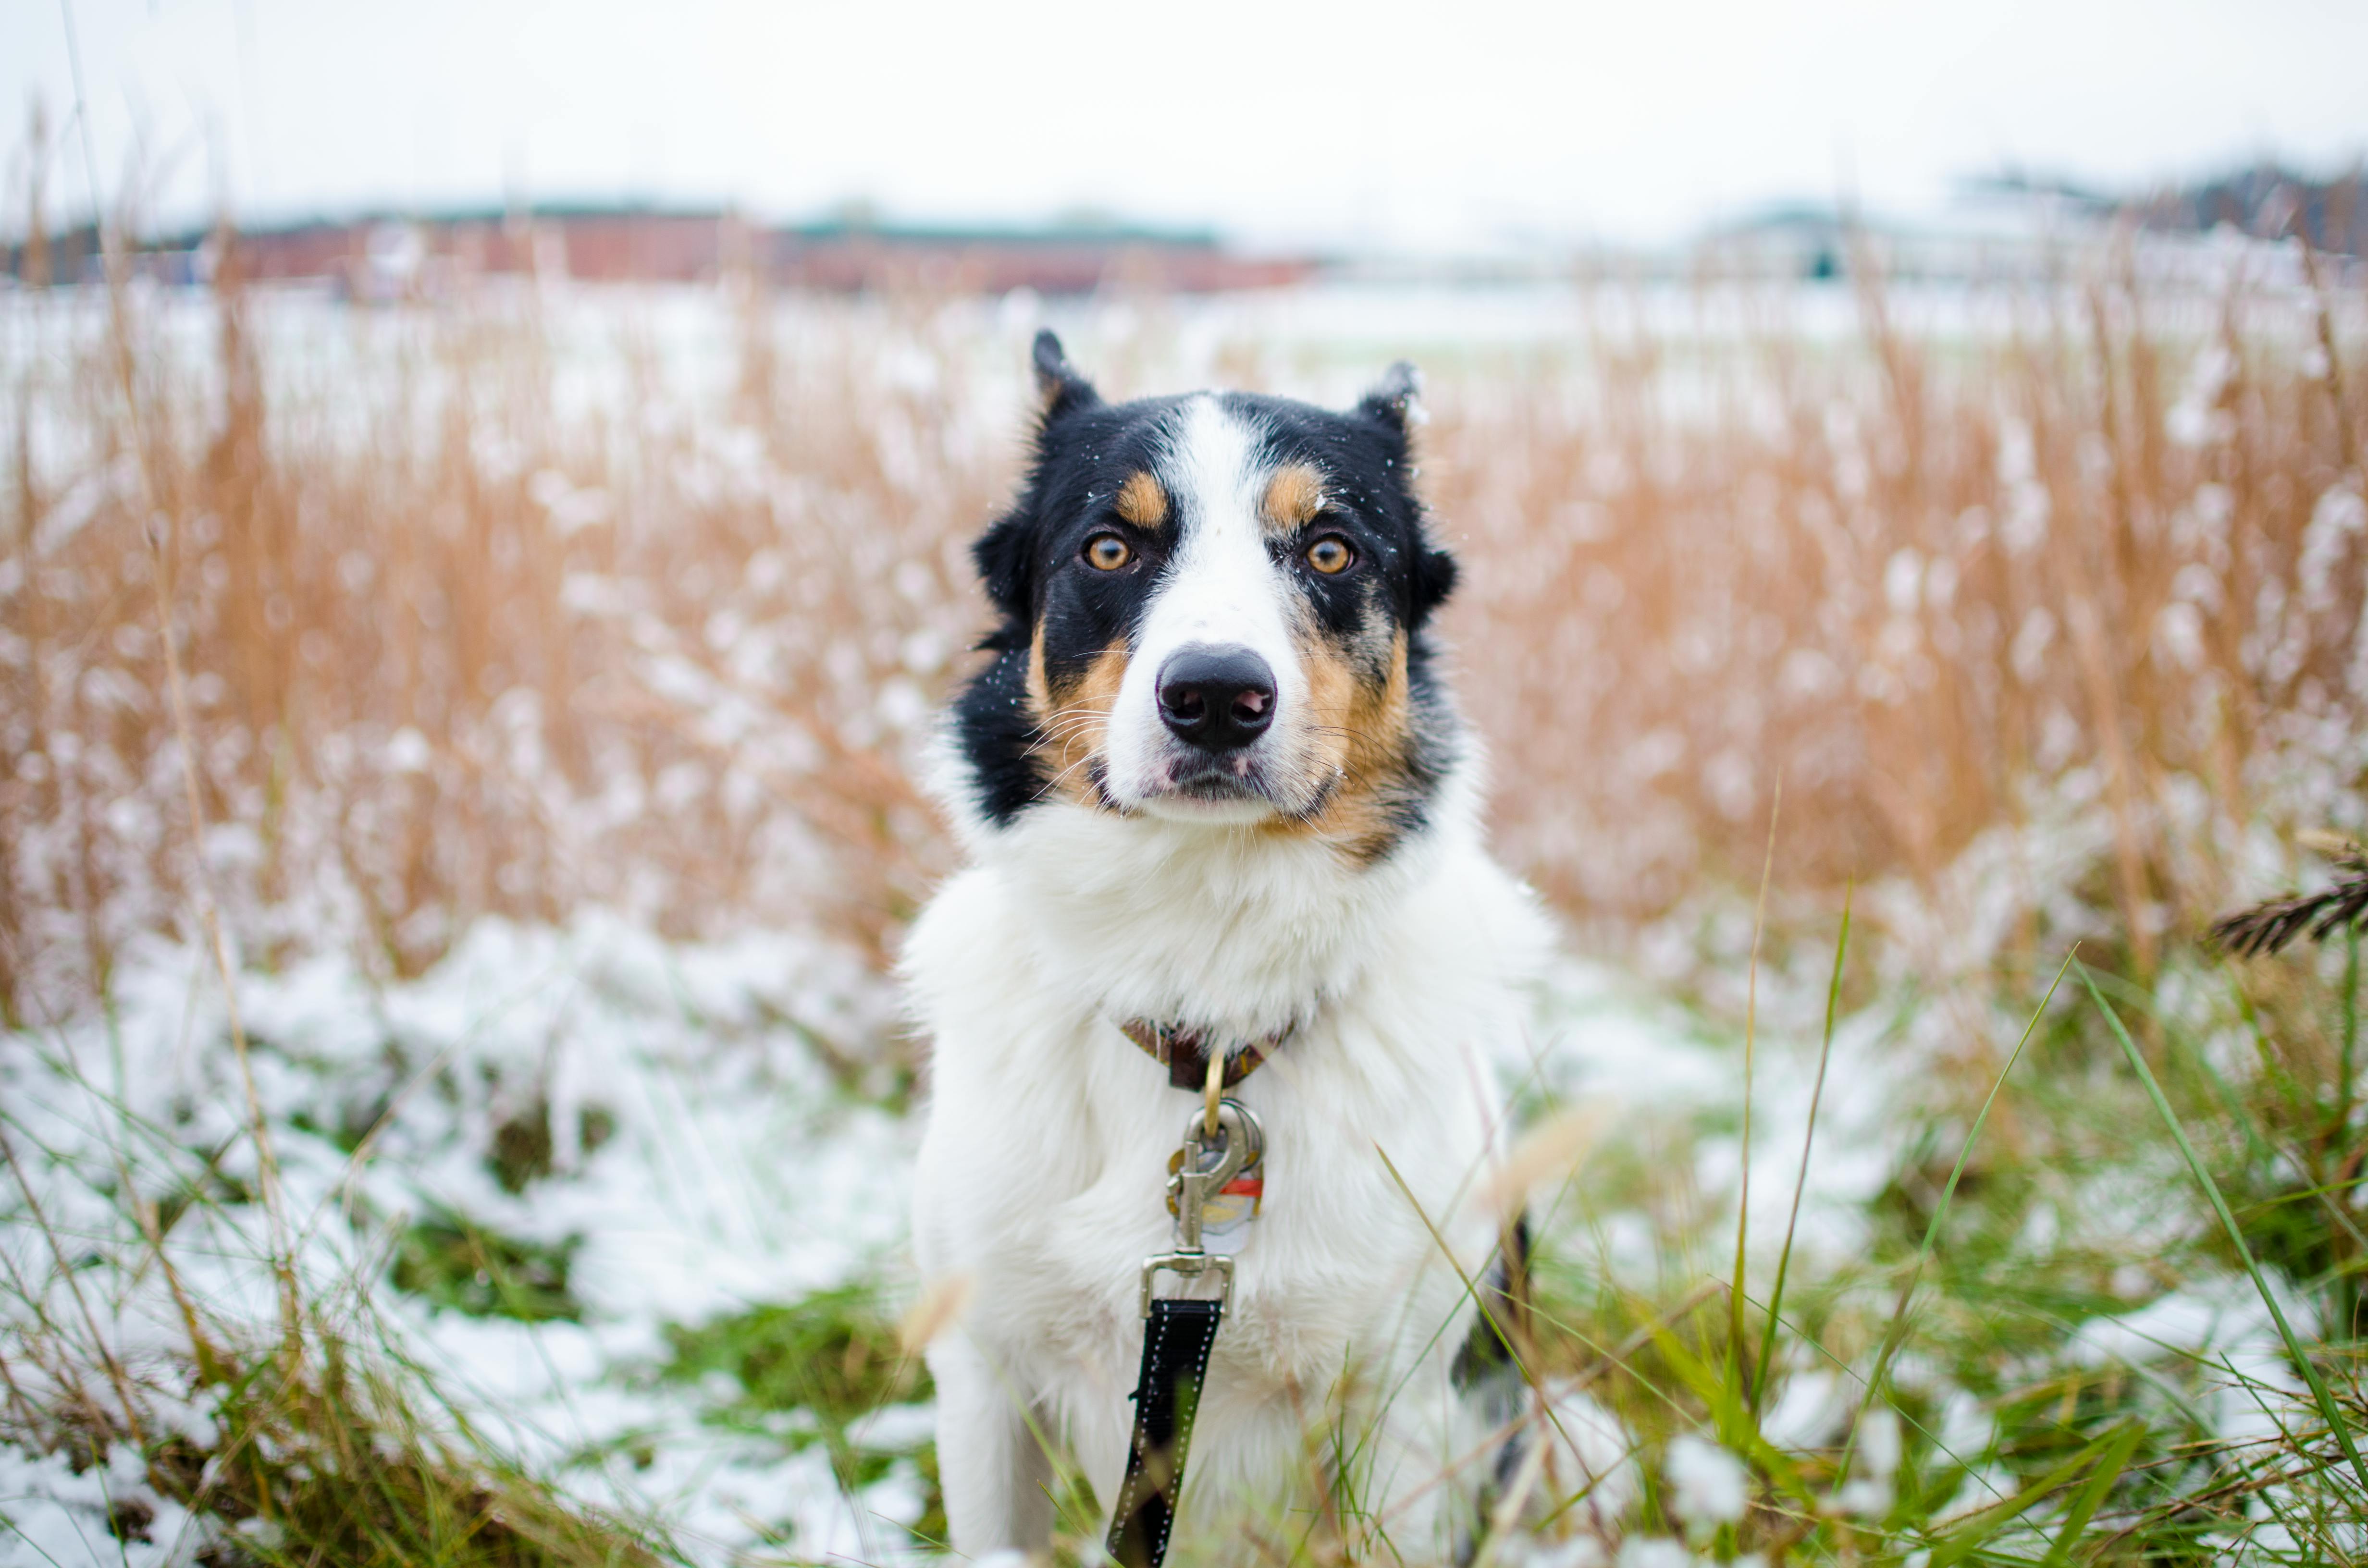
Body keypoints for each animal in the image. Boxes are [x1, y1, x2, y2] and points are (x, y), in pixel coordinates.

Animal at [904, 339, 1553, 1563]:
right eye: (1110, 547)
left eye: (1330, 549)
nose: (1213, 697)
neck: (1202, 1000)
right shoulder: (982, 1380)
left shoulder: (1404, 1414)